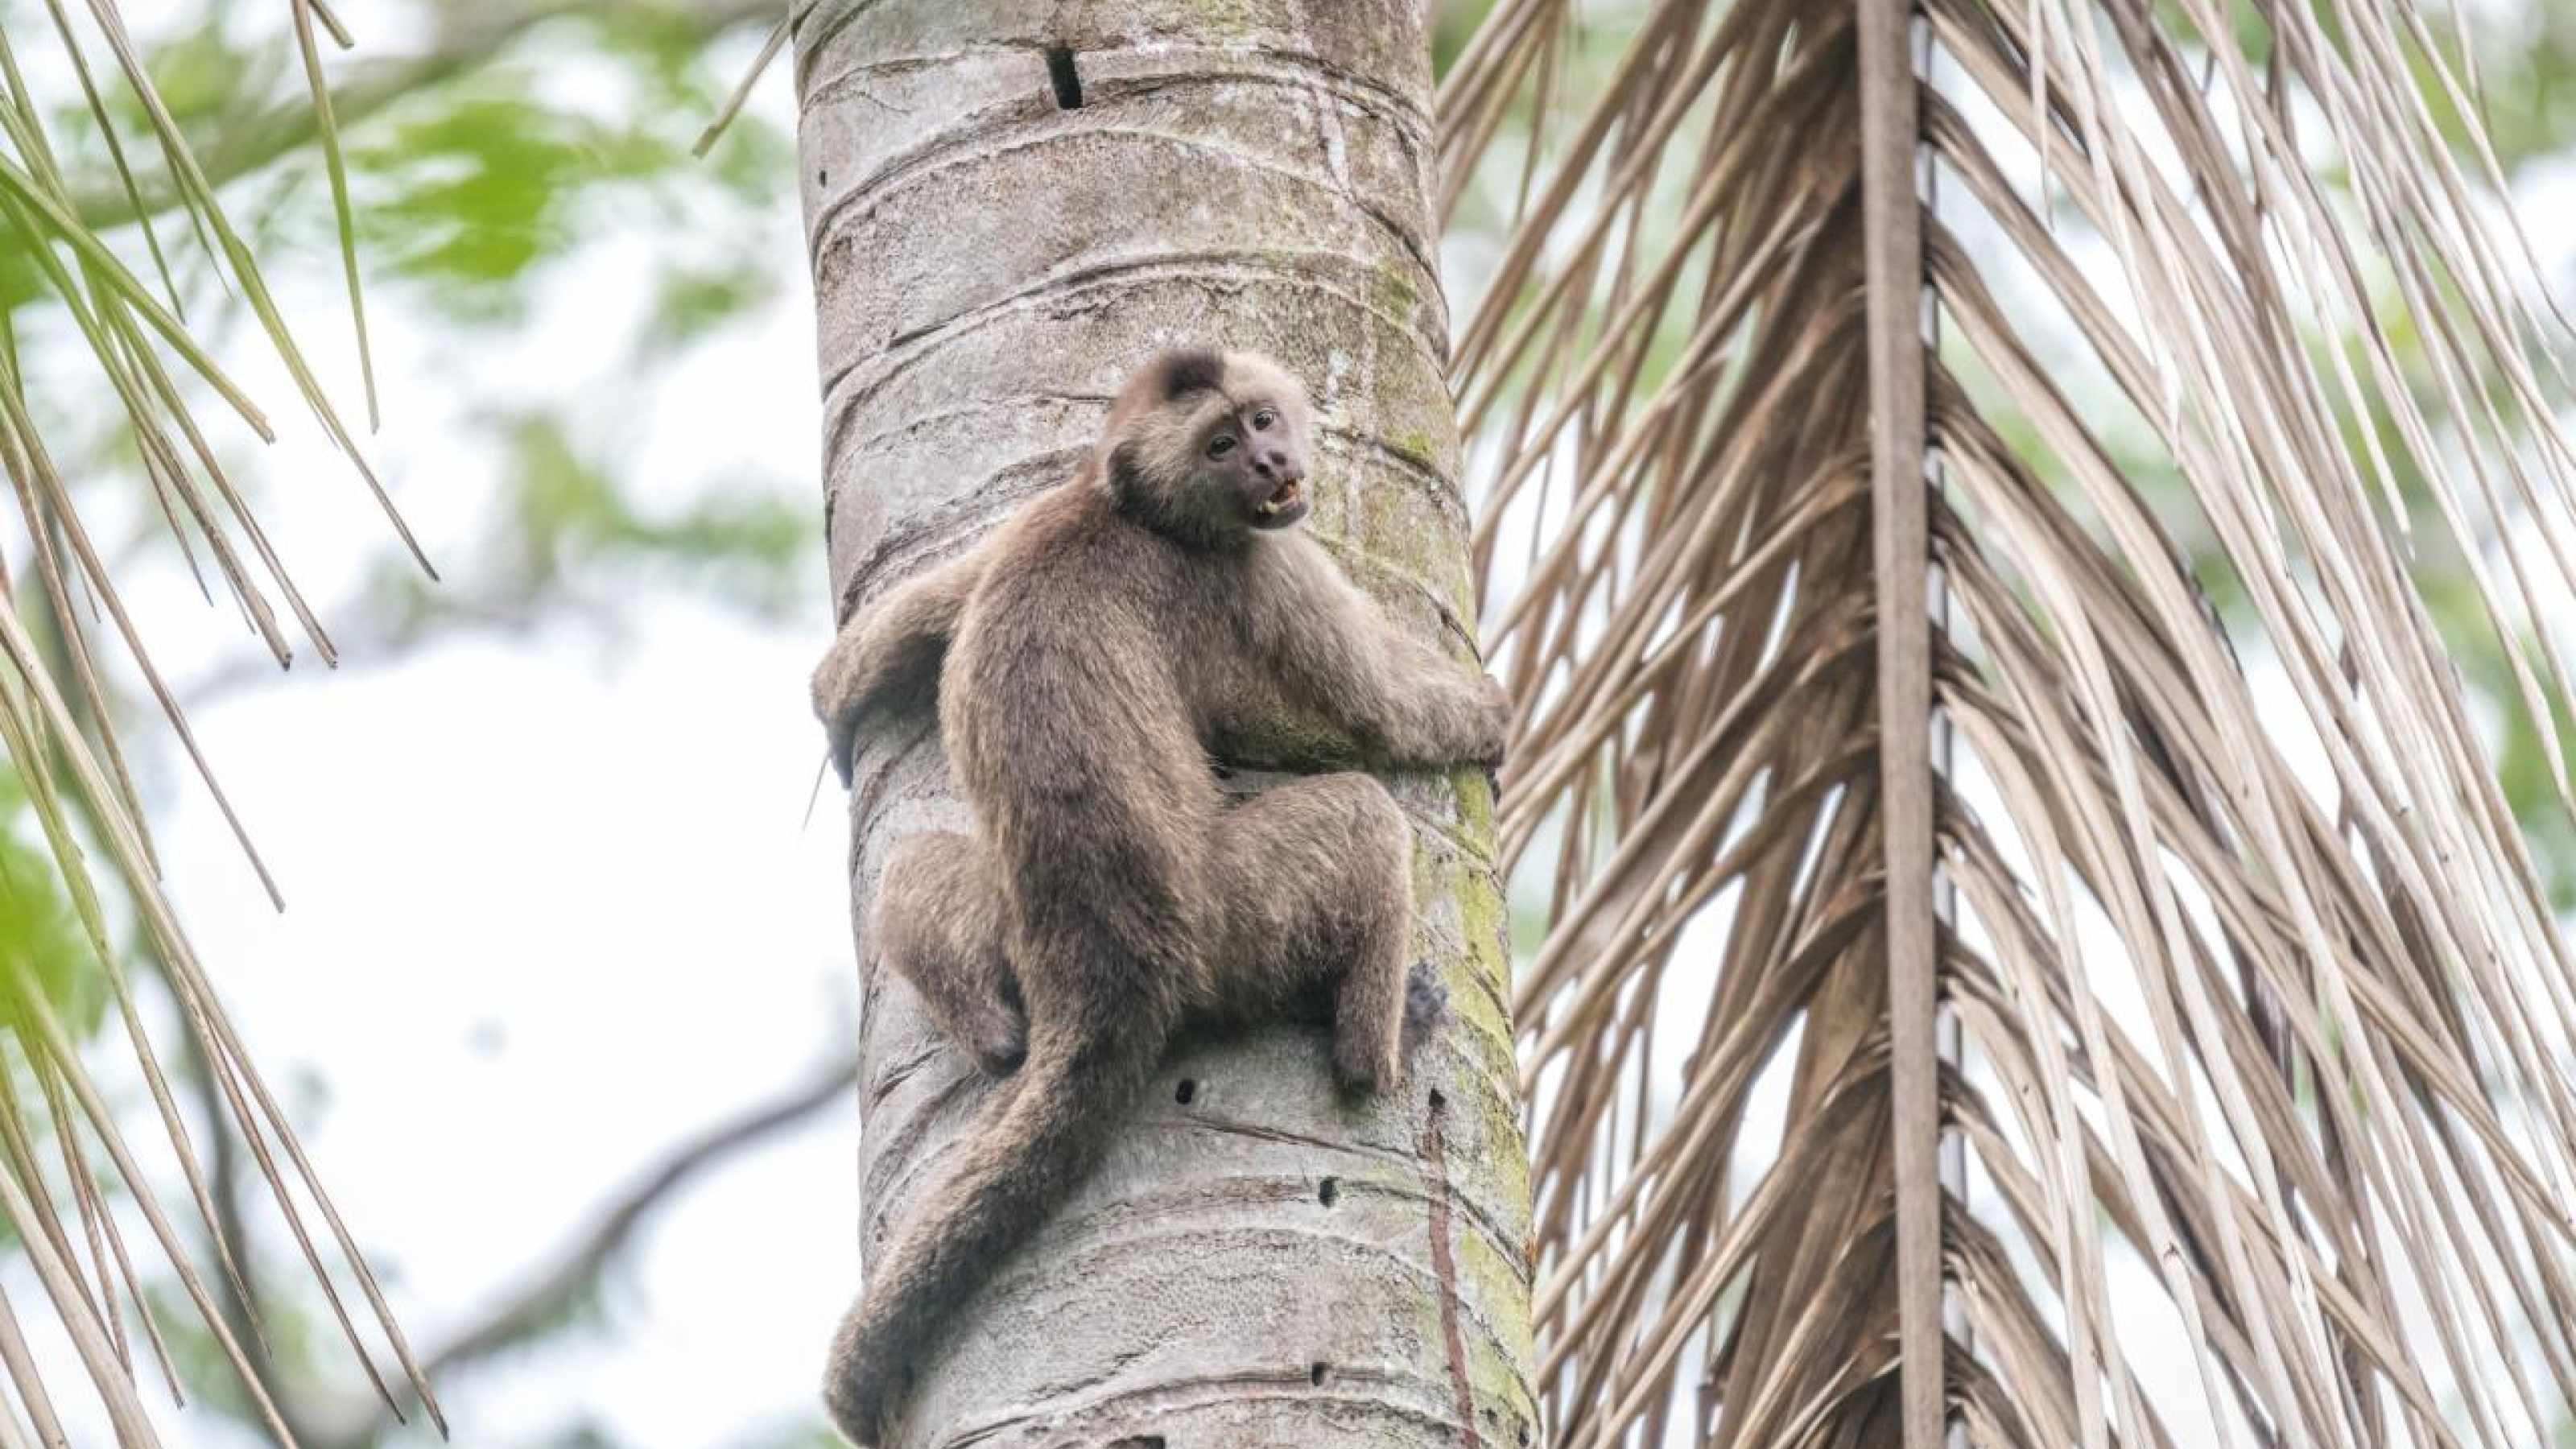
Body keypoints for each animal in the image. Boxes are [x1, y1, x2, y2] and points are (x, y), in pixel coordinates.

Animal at [812, 348, 1510, 1446]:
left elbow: (921, 618)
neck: (1124, 513)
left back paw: (993, 1033)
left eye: (1260, 421)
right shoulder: (1254, 568)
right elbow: (1372, 711)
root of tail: (1106, 974)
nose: (1271, 460)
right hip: (1235, 918)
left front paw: (838, 698)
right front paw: (1486, 716)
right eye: (1220, 445)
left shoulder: (1036, 512)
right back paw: (1383, 1041)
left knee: (913, 868)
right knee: (1363, 815)